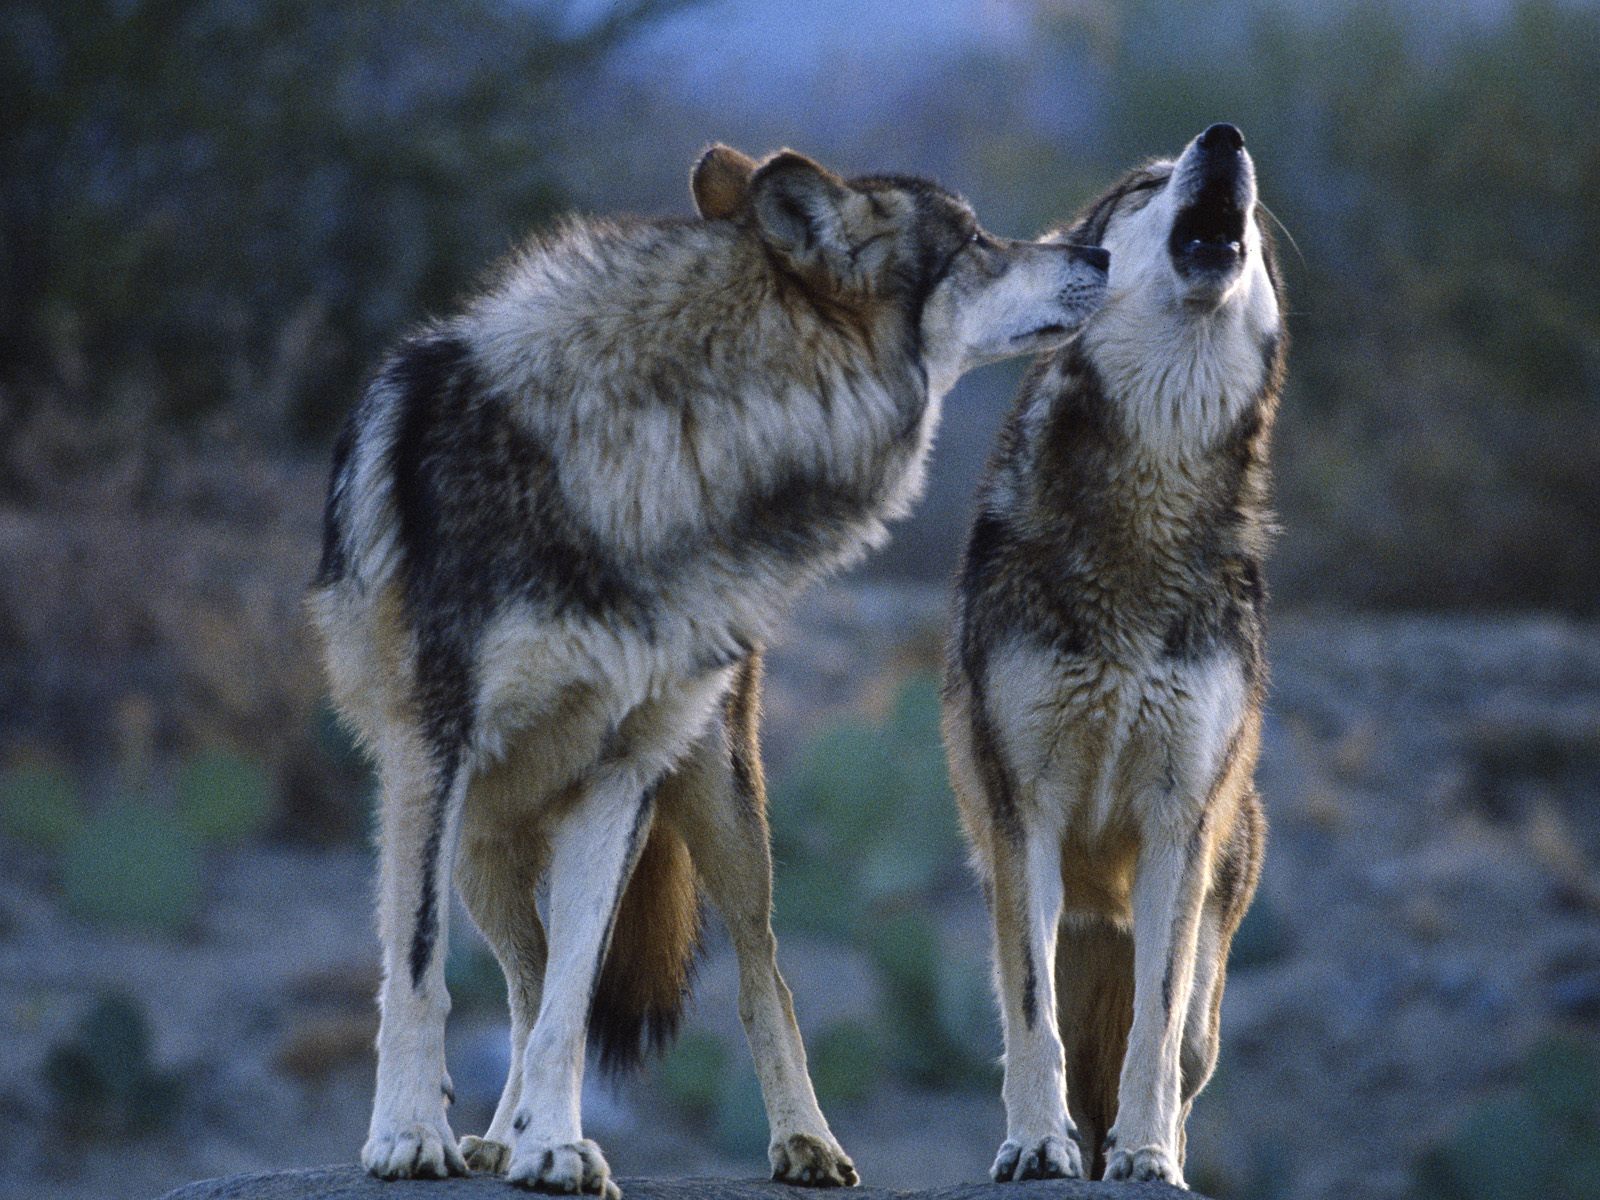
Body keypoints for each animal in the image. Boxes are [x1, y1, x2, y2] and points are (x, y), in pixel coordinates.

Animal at [940, 120, 1280, 1184]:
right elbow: (1032, 1014)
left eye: (1259, 208)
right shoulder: (1025, 814)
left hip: (1215, 940)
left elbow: (1155, 1027)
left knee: (1184, 1048)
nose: (1226, 138)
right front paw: (1034, 1144)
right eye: (1144, 185)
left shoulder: (1181, 820)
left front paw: (1148, 1158)